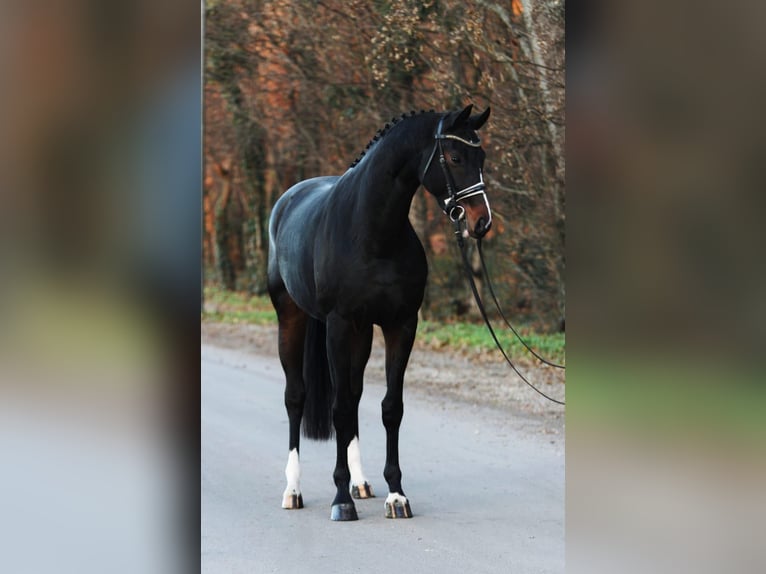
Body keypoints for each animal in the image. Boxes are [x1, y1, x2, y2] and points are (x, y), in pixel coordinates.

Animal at [268, 103, 492, 520]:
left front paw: (396, 495)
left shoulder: (399, 325)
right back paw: (294, 489)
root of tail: (287, 199)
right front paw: (340, 501)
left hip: (361, 333)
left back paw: (361, 483)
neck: (372, 232)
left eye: (482, 157)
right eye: (455, 157)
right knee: (297, 397)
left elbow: (390, 408)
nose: (481, 221)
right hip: (292, 318)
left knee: (355, 395)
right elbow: (339, 409)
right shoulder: (339, 325)